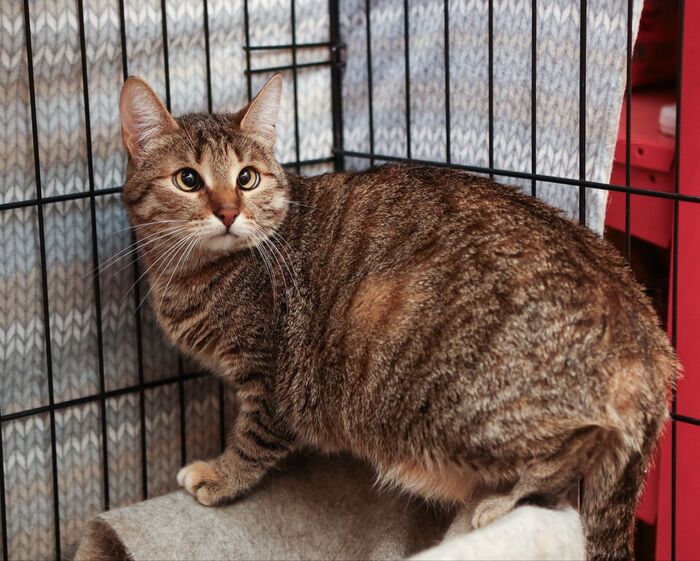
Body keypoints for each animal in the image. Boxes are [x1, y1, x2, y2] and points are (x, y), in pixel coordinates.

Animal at [118, 74, 675, 561]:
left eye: (246, 178)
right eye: (188, 179)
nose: (229, 211)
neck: (193, 274)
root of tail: (644, 332)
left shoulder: (269, 378)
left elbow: (254, 440)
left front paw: (220, 476)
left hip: (455, 407)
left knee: (582, 441)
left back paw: (500, 505)